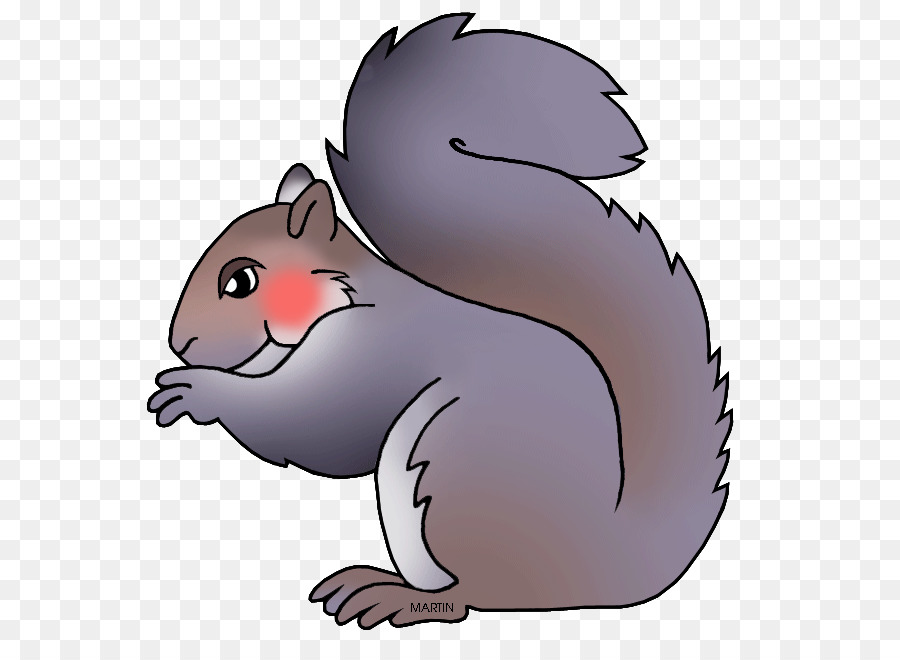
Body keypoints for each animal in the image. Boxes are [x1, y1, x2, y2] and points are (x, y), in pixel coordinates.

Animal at [148, 14, 732, 628]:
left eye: (240, 281)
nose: (180, 342)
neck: (340, 296)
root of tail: (602, 571)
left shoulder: (369, 353)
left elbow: (308, 425)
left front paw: (199, 390)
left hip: (447, 477)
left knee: (468, 598)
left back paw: (391, 595)